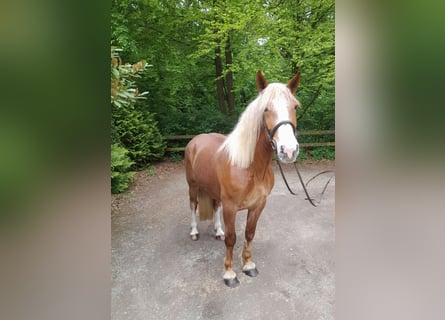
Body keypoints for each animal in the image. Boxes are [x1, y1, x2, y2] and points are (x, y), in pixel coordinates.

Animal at [184, 70, 302, 288]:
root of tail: (195, 141)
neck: (250, 167)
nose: (289, 151)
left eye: (295, 107)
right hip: (193, 187)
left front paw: (248, 265)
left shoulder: (258, 205)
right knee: (193, 206)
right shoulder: (231, 208)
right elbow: (232, 238)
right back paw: (194, 232)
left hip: (214, 191)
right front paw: (229, 274)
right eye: (266, 109)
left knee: (215, 207)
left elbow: (249, 233)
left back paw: (217, 231)